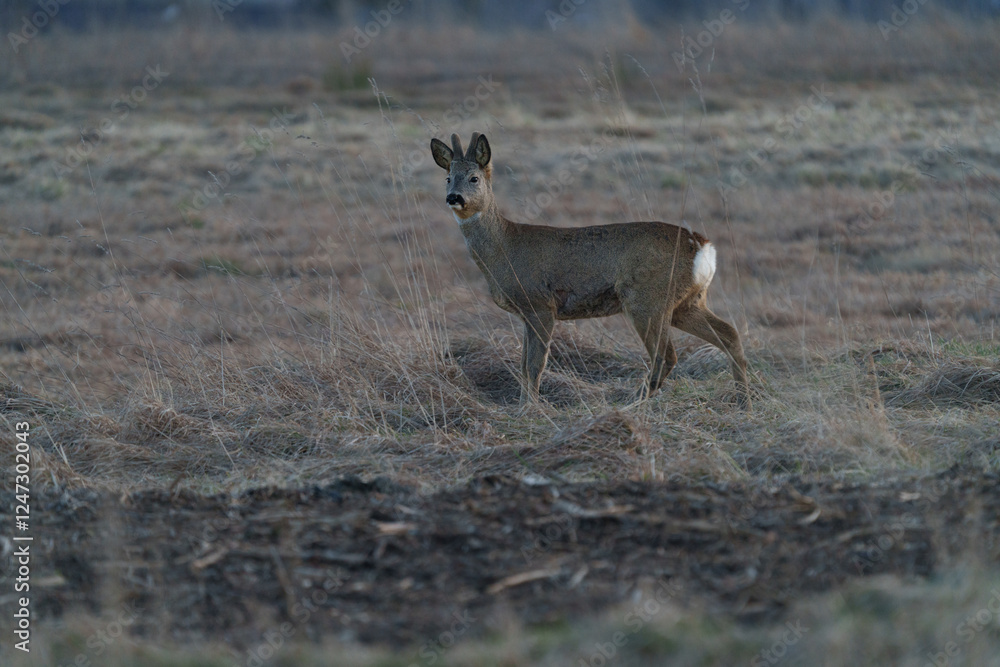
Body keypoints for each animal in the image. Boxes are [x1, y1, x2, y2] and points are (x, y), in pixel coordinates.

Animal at [431, 132, 750, 407]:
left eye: (473, 178)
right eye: (447, 178)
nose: (454, 197)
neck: (505, 248)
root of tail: (702, 245)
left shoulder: (540, 304)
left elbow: (534, 365)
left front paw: (530, 410)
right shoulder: (525, 313)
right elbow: (522, 364)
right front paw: (524, 406)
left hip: (647, 298)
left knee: (666, 355)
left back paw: (633, 404)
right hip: (687, 302)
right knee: (729, 334)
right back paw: (743, 400)